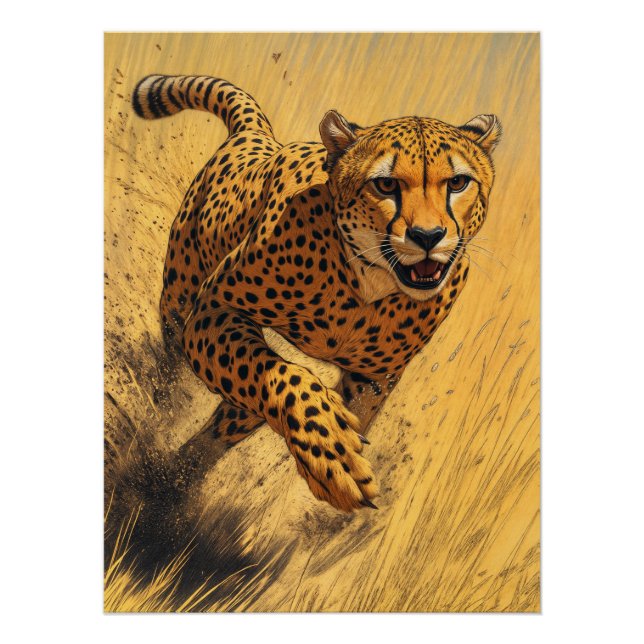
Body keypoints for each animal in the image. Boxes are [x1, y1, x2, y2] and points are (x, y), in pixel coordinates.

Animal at [132, 73, 501, 512]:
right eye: (386, 184)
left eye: (458, 182)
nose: (428, 237)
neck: (367, 282)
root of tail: (260, 136)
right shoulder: (212, 311)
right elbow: (286, 377)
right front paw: (334, 456)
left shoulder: (373, 378)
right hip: (179, 301)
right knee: (173, 373)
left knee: (231, 418)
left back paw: (175, 480)